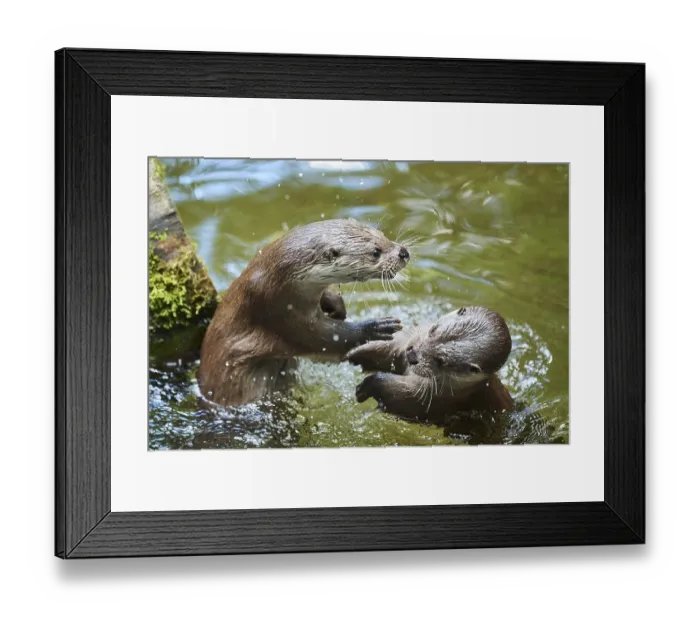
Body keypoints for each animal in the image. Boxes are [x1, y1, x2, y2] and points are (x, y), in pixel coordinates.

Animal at [198, 219, 410, 405]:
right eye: (375, 252)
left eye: (383, 235)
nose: (404, 252)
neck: (275, 277)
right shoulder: (280, 313)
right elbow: (323, 338)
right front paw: (376, 327)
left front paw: (337, 306)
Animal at [348, 306, 514, 423]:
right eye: (433, 330)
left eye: (441, 361)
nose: (412, 355)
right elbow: (393, 352)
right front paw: (355, 353)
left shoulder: (437, 400)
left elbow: (402, 396)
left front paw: (369, 384)